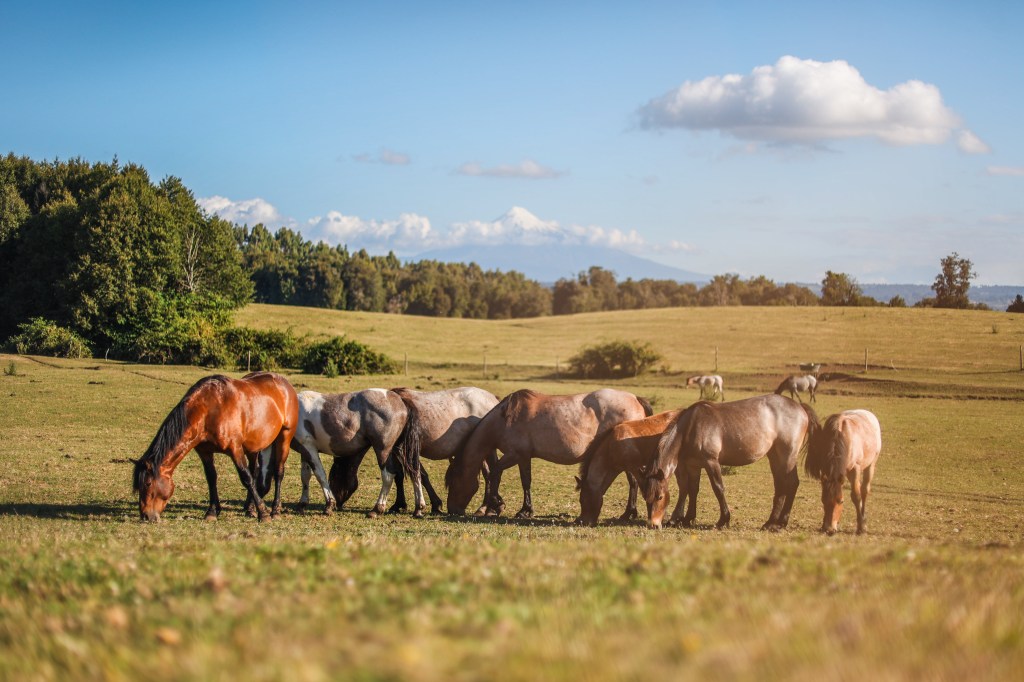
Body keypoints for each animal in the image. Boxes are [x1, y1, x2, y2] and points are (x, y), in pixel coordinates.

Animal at [132, 372, 298, 523]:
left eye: (148, 483)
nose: (145, 516)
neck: (207, 410)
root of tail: (285, 384)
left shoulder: (235, 449)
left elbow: (246, 478)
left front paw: (263, 514)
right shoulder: (204, 451)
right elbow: (211, 478)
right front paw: (212, 512)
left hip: (284, 437)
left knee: (278, 472)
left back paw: (275, 511)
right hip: (253, 446)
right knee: (255, 471)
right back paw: (250, 508)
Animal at [285, 389, 425, 517]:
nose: (338, 504)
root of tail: (400, 400)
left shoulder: (310, 449)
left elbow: (320, 475)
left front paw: (329, 505)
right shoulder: (305, 450)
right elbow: (305, 476)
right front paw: (302, 504)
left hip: (383, 450)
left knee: (388, 476)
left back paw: (377, 509)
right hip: (401, 450)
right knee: (415, 472)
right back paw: (418, 507)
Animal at [324, 386, 500, 515]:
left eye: (334, 477)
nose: (337, 503)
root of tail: (493, 399)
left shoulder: (402, 450)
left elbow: (415, 474)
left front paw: (430, 505)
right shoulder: (397, 451)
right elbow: (402, 475)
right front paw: (401, 504)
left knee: (489, 474)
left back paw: (486, 507)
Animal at [445, 388, 653, 518]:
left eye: (453, 482)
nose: (452, 510)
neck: (505, 419)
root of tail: (636, 399)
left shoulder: (515, 455)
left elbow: (497, 474)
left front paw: (500, 504)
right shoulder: (523, 457)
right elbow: (523, 481)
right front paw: (522, 509)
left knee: (633, 482)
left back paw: (629, 513)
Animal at [640, 394, 818, 531]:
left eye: (660, 496)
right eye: (646, 497)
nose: (653, 524)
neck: (692, 426)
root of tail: (800, 407)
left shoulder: (711, 462)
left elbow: (718, 489)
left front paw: (723, 520)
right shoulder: (693, 466)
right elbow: (693, 490)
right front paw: (688, 518)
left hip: (787, 456)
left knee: (792, 484)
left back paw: (782, 522)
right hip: (775, 456)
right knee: (780, 486)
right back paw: (770, 523)